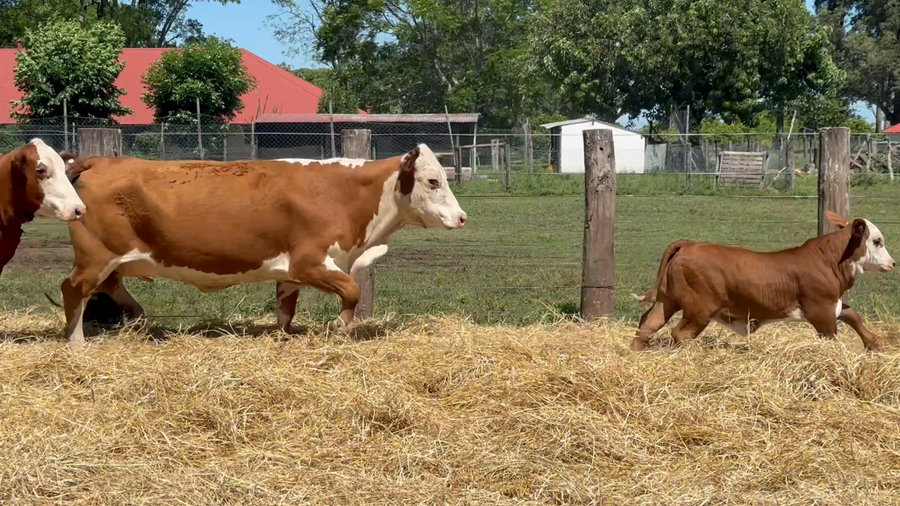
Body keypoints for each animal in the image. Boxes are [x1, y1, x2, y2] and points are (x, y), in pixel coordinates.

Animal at [59, 144, 467, 344]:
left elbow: (286, 310)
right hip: (95, 256)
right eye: (433, 181)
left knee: (111, 286)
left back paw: (137, 315)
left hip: (110, 259)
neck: (341, 193)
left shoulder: (290, 273)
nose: (462, 217)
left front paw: (284, 337)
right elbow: (351, 290)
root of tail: (99, 161)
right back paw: (76, 340)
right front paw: (340, 328)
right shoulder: (309, 262)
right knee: (73, 288)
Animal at [631, 211, 894, 352]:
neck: (828, 259)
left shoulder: (833, 304)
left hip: (668, 299)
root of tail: (690, 244)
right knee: (680, 333)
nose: (892, 263)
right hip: (700, 309)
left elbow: (853, 315)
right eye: (877, 241)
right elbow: (832, 335)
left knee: (649, 323)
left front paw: (874, 343)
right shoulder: (821, 310)